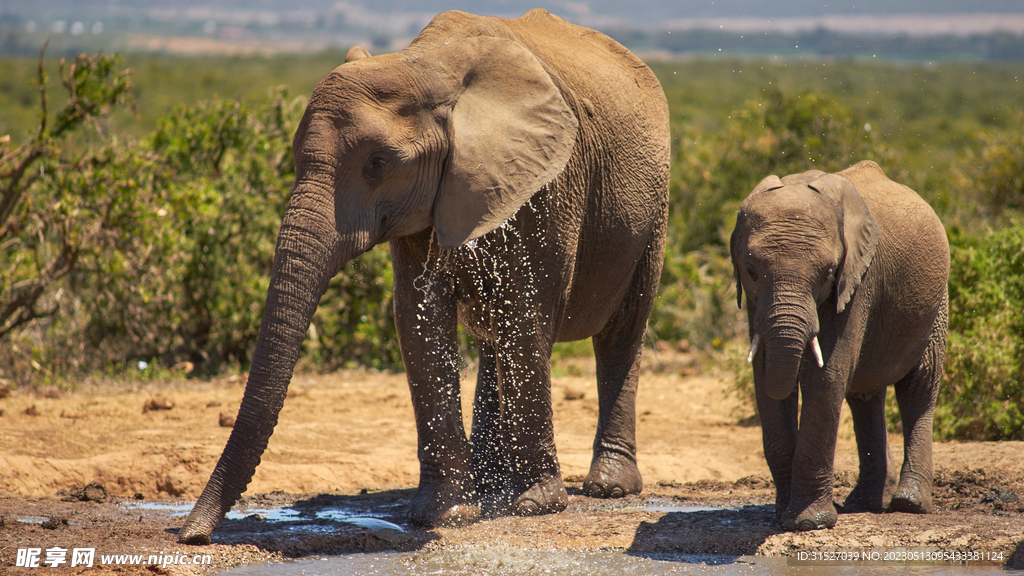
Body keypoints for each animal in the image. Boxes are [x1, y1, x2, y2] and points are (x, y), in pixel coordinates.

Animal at [178, 8, 671, 541]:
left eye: (378, 164)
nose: (192, 535)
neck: (429, 66)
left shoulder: (548, 184)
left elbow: (525, 313)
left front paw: (537, 506)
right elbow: (419, 317)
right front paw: (445, 514)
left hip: (653, 207)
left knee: (621, 331)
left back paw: (608, 488)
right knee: (493, 337)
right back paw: (491, 486)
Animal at [733, 158, 946, 528]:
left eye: (828, 273)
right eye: (751, 271)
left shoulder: (858, 282)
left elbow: (826, 377)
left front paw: (808, 522)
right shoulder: (753, 304)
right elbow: (765, 379)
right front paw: (782, 516)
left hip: (936, 302)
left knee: (919, 387)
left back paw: (909, 503)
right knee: (864, 397)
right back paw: (864, 503)